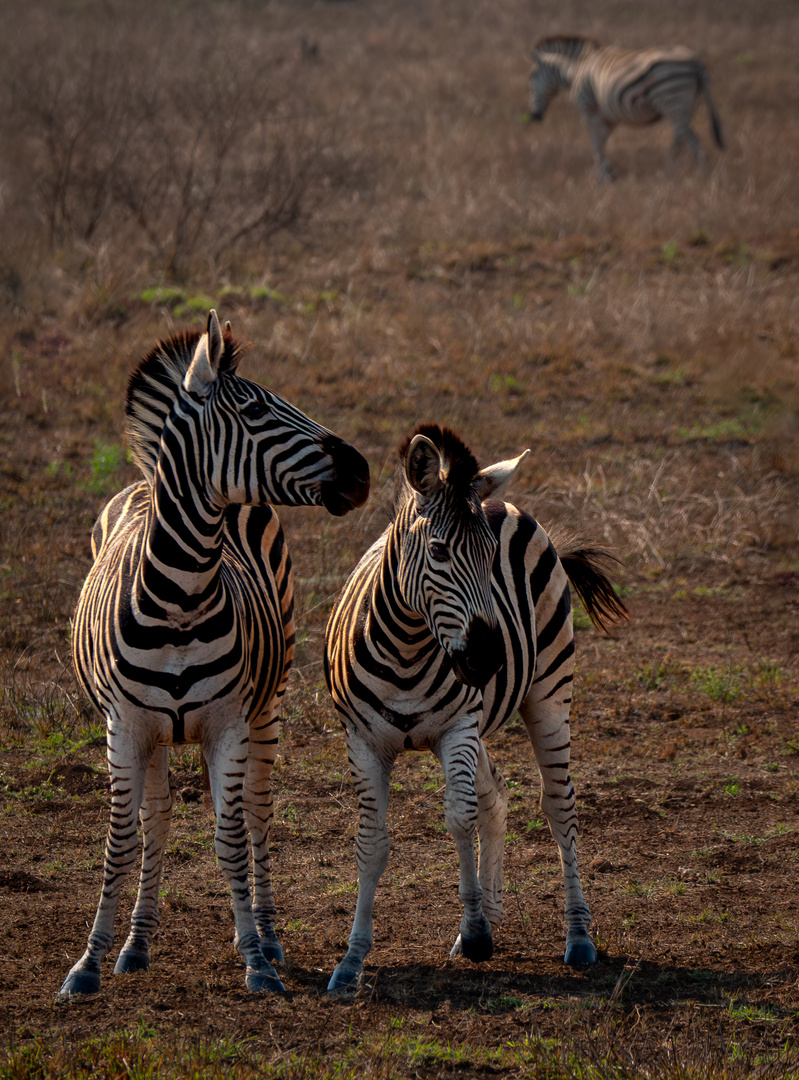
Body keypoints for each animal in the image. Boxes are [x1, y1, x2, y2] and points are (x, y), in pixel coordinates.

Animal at [59, 308, 371, 997]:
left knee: (256, 811)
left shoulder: (228, 722)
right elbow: (122, 841)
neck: (179, 596)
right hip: (153, 733)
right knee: (156, 819)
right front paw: (90, 962)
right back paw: (137, 944)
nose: (362, 470)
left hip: (267, 708)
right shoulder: (124, 726)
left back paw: (267, 934)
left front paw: (255, 959)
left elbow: (230, 838)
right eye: (255, 410)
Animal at [321, 423, 626, 989]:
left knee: (559, 805)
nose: (487, 657)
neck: (407, 647)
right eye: (438, 551)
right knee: (497, 794)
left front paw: (478, 932)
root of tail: (502, 500)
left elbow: (460, 819)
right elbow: (371, 843)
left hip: (549, 691)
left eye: (489, 554)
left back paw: (577, 935)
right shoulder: (363, 741)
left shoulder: (457, 728)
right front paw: (351, 961)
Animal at [531, 35, 725, 179]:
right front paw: (608, 173)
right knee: (680, 138)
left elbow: (595, 143)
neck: (575, 69)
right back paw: (670, 173)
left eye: (531, 79)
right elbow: (602, 141)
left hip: (672, 98)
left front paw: (601, 177)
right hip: (687, 105)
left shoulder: (588, 108)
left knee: (691, 141)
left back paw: (698, 177)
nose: (534, 116)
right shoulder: (609, 116)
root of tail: (695, 62)